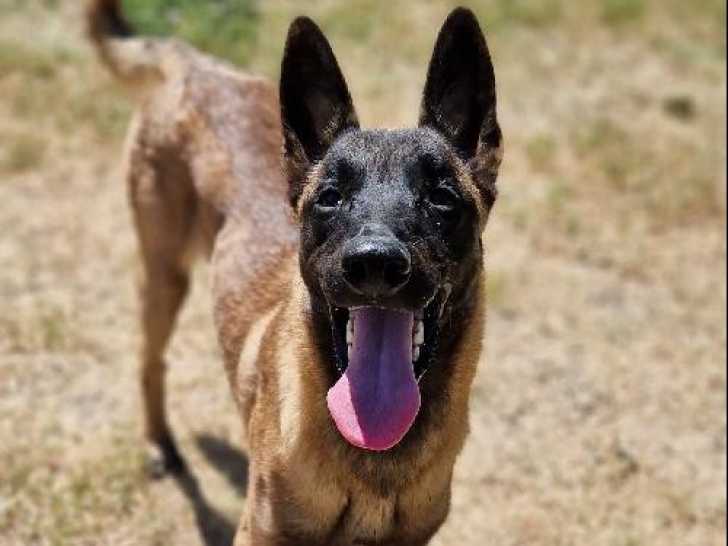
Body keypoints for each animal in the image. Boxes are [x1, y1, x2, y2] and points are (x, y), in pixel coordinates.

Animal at [88, 1, 503, 544]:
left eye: (442, 198)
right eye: (330, 197)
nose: (374, 263)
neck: (373, 459)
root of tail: (194, 64)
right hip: (163, 274)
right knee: (149, 361)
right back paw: (160, 443)